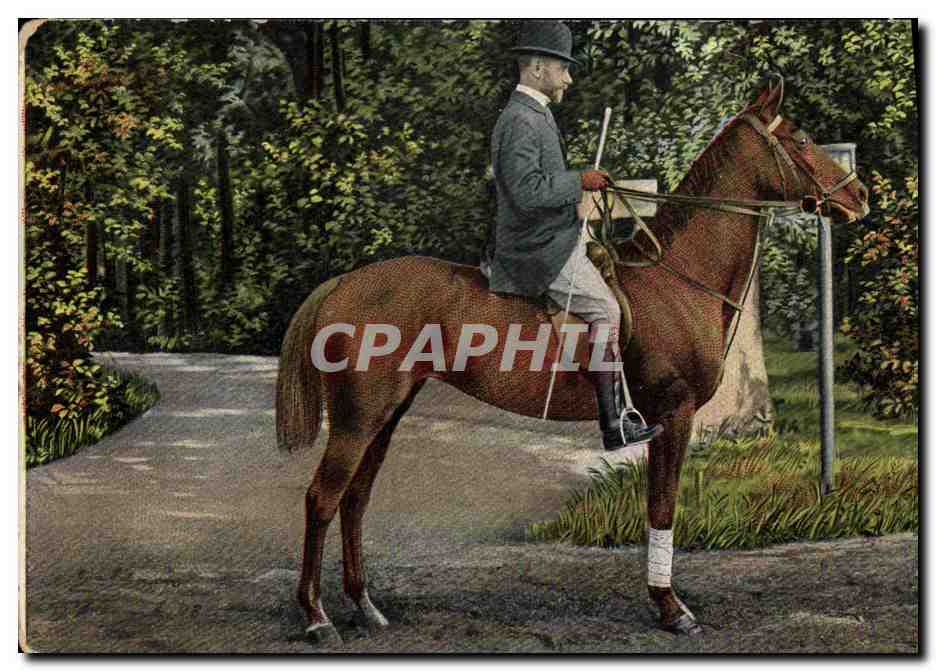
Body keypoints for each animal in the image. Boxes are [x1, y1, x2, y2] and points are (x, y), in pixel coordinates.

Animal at [275, 82, 869, 644]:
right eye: (798, 138)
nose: (859, 195)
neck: (676, 278)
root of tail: (343, 283)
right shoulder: (673, 414)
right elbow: (662, 508)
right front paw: (670, 608)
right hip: (357, 420)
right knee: (322, 499)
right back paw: (316, 616)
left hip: (384, 417)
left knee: (354, 500)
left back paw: (365, 606)